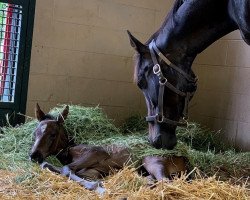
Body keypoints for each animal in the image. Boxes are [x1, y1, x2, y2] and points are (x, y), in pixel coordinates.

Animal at [29, 104, 188, 194]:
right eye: (35, 132)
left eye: (53, 134)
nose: (34, 155)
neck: (69, 150)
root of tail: (184, 160)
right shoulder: (94, 171)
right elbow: (51, 166)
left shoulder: (96, 153)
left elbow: (66, 169)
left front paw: (98, 187)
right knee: (153, 180)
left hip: (152, 161)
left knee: (165, 182)